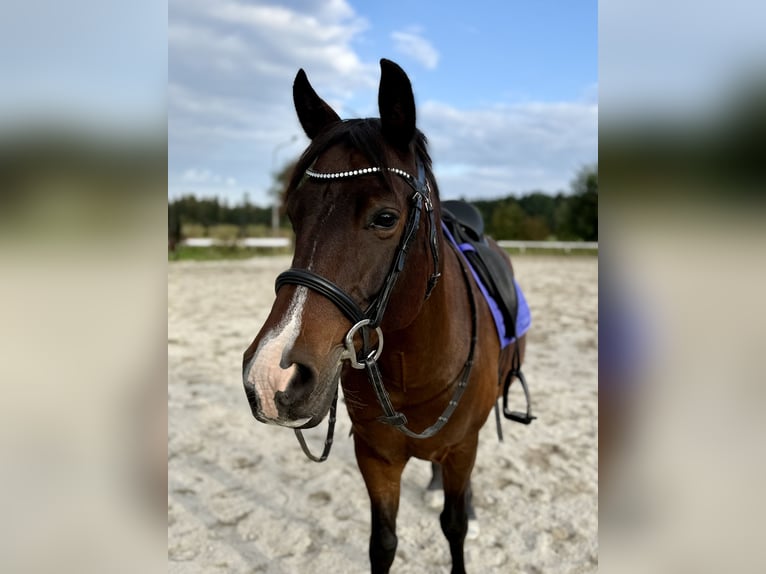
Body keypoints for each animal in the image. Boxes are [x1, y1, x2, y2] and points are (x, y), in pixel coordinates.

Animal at [243, 59, 528, 574]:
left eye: (385, 218)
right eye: (293, 215)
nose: (272, 375)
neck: (412, 366)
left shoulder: (463, 448)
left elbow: (455, 527)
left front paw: (463, 514)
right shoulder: (375, 458)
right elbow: (383, 542)